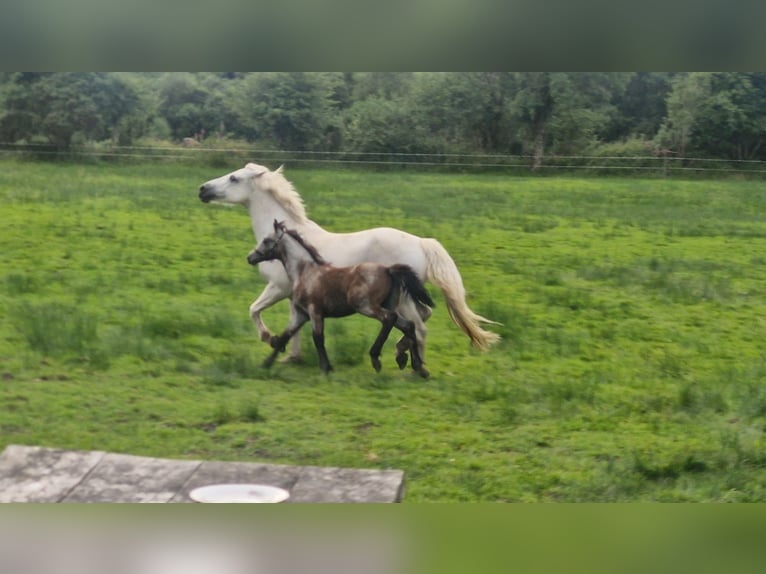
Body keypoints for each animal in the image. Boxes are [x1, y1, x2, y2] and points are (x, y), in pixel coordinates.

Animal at [248, 220, 435, 378]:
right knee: (408, 325)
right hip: (388, 305)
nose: (250, 257)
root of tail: (388, 270)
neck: (305, 272)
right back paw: (418, 367)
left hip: (366, 306)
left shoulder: (315, 311)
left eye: (266, 240)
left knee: (390, 319)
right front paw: (265, 364)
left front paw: (326, 368)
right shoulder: (301, 315)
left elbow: (318, 338)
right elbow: (285, 336)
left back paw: (377, 358)